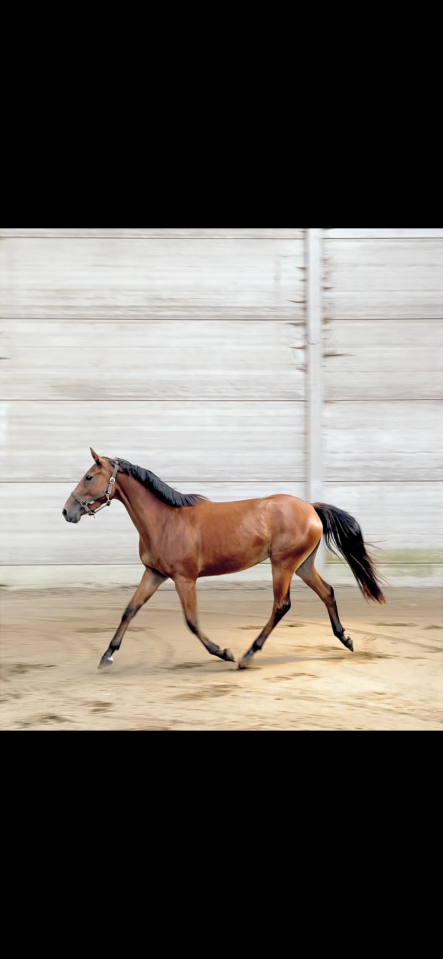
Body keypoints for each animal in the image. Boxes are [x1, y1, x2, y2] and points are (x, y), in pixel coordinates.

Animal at [62, 448, 386, 670]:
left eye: (89, 476)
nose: (67, 511)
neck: (165, 520)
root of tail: (310, 507)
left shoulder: (184, 579)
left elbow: (192, 621)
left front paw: (224, 652)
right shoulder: (154, 573)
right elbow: (129, 610)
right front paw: (107, 656)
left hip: (282, 565)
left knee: (281, 605)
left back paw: (247, 655)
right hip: (302, 565)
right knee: (327, 592)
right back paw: (346, 639)